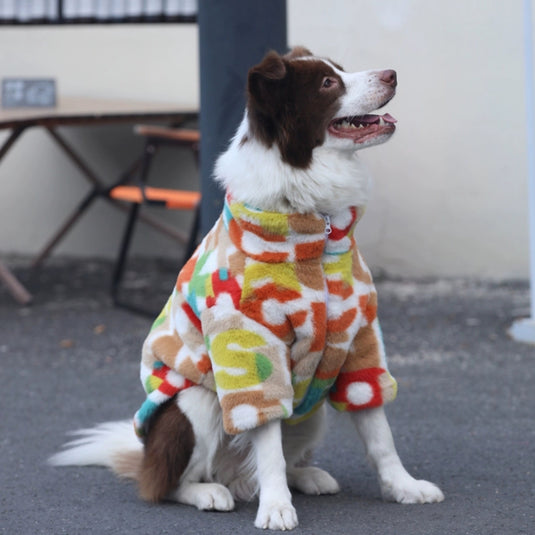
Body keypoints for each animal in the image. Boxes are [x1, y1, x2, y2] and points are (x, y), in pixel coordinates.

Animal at [49, 47, 444, 532]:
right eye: (328, 84)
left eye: (341, 68)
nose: (392, 74)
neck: (314, 225)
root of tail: (146, 458)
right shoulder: (251, 348)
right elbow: (266, 441)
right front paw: (275, 508)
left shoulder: (359, 340)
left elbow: (379, 432)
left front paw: (403, 487)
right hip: (195, 405)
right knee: (169, 485)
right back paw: (209, 492)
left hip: (309, 415)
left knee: (267, 465)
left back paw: (305, 476)